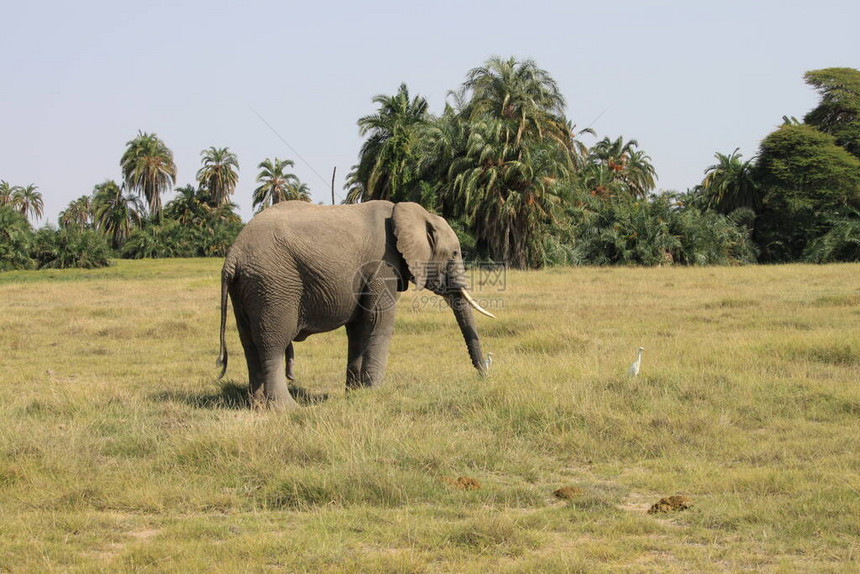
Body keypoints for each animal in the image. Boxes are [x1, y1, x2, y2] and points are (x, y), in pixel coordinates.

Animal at [217, 200, 498, 412]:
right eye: (455, 254)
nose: (485, 374)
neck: (410, 212)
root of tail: (233, 255)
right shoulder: (383, 265)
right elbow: (380, 321)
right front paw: (375, 392)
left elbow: (359, 328)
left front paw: (356, 393)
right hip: (274, 284)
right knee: (272, 343)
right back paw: (287, 409)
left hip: (248, 287)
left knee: (250, 344)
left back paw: (257, 406)